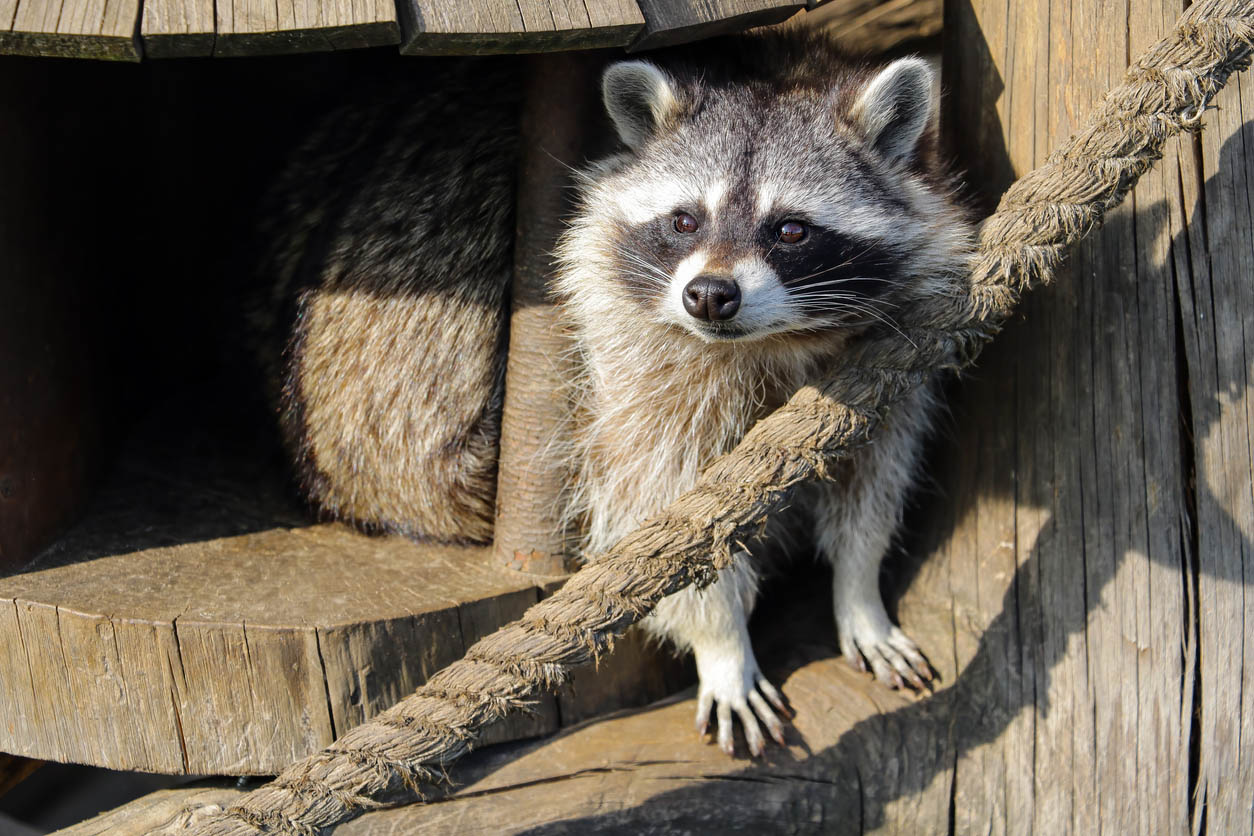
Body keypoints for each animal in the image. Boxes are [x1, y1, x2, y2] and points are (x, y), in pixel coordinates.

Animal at [262, 36, 968, 757]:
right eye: (684, 221)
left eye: (791, 229)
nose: (709, 295)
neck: (769, 341)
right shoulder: (624, 369)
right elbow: (658, 510)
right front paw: (723, 644)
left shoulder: (894, 358)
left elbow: (873, 477)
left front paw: (859, 588)